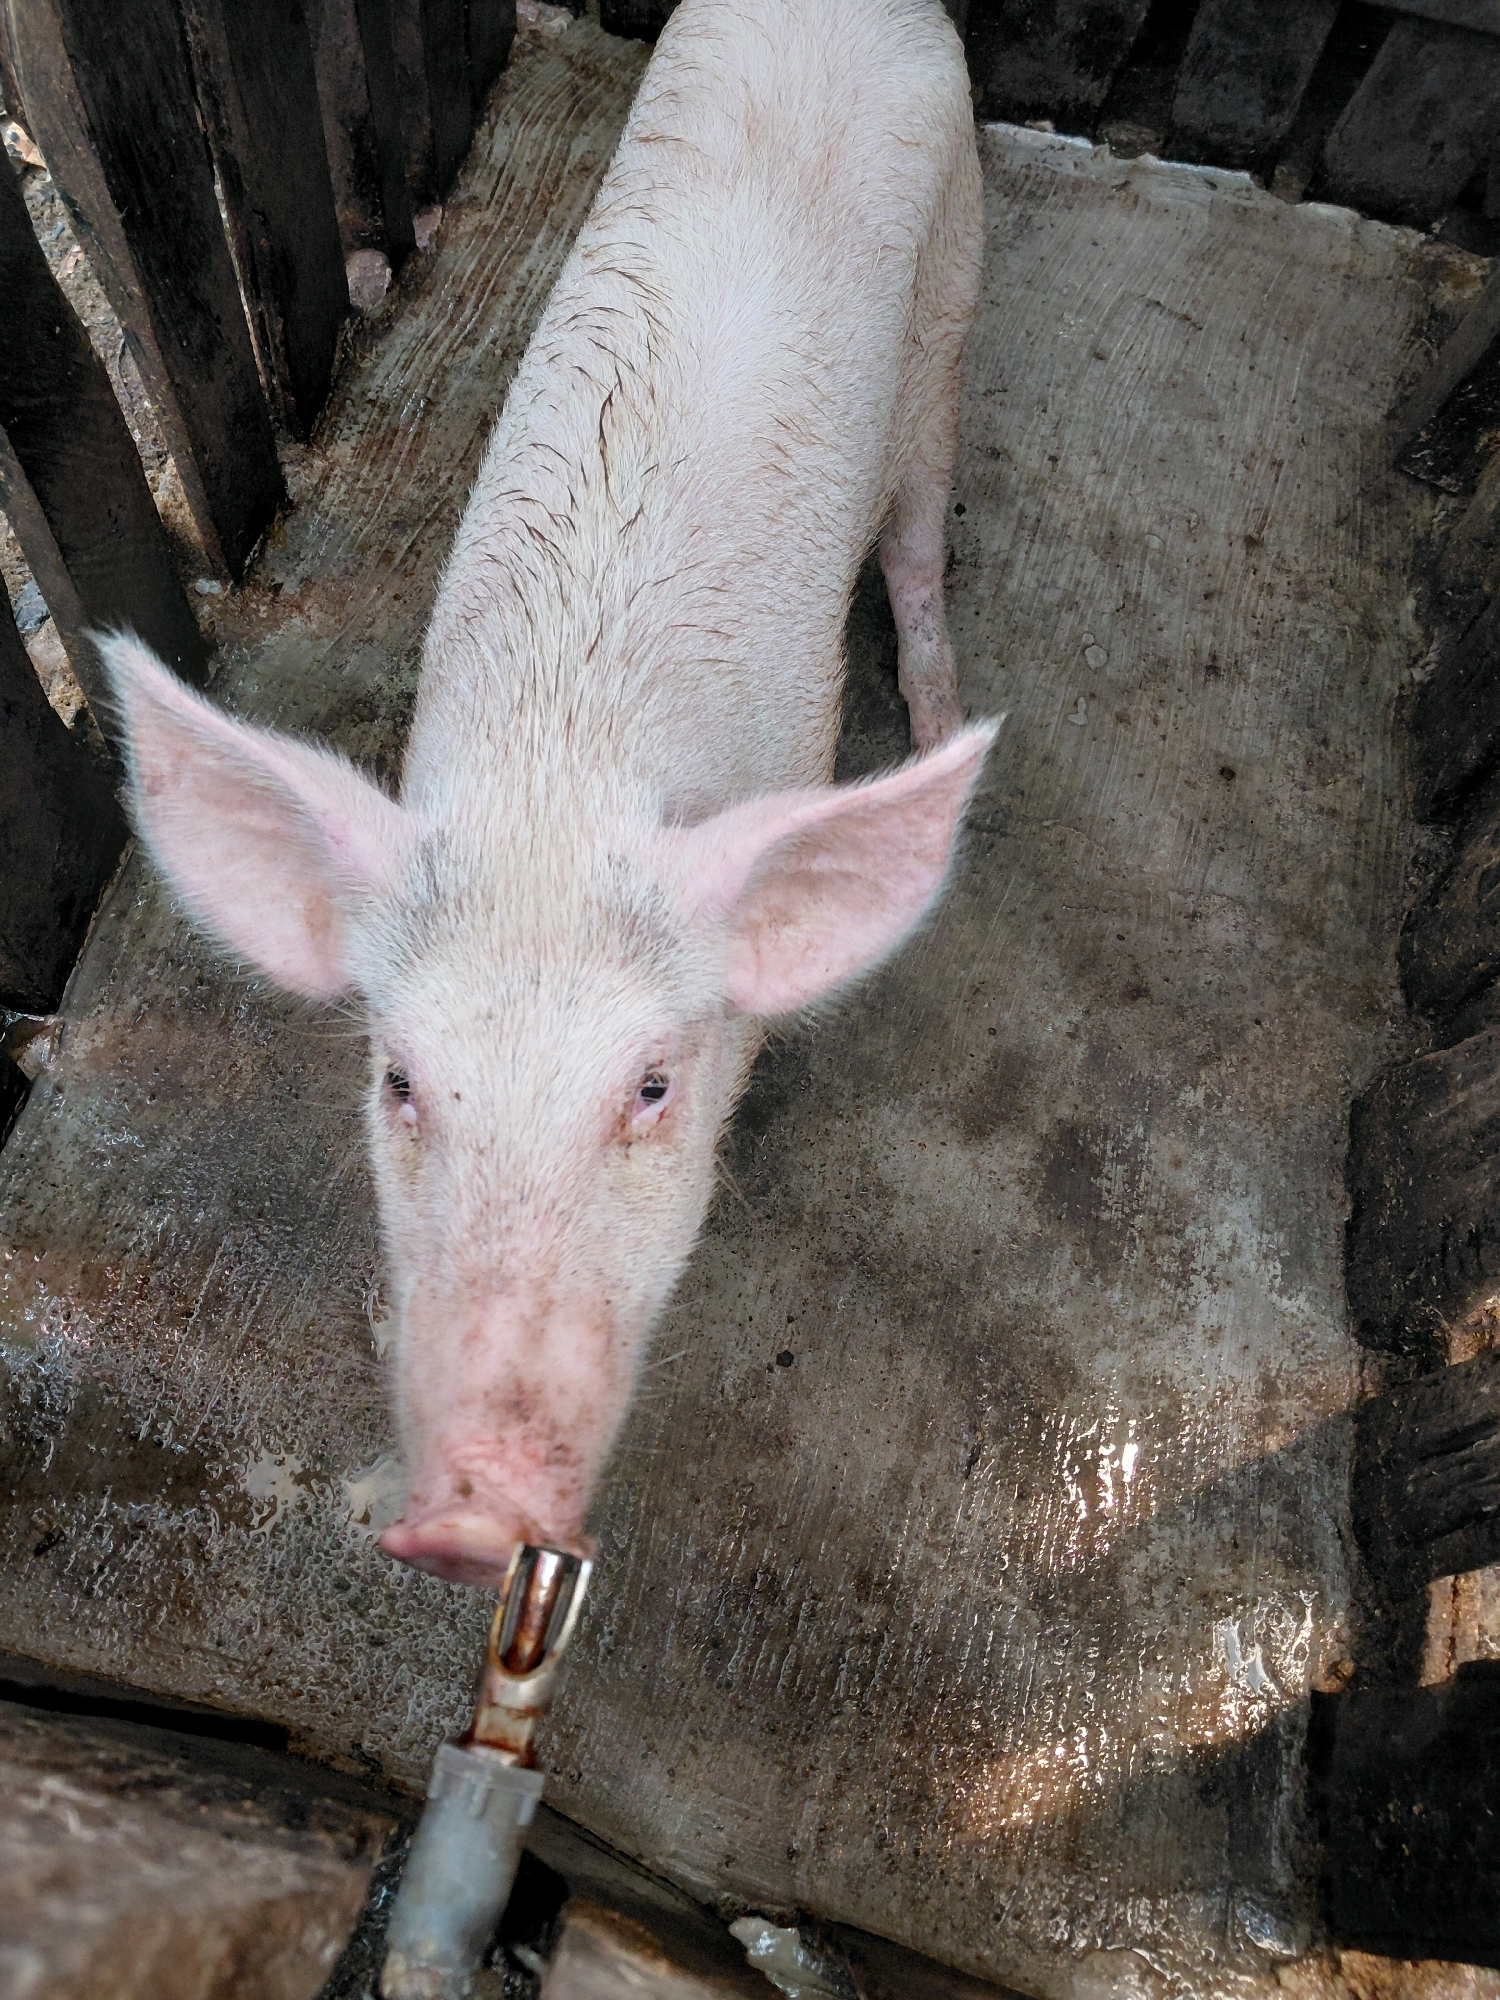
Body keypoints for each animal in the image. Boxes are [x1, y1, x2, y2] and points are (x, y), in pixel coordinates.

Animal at [101, 0, 992, 1591]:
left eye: (650, 1087)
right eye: (399, 1080)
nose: (466, 1517)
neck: (552, 787)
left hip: (954, 287)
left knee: (919, 533)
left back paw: (944, 713)